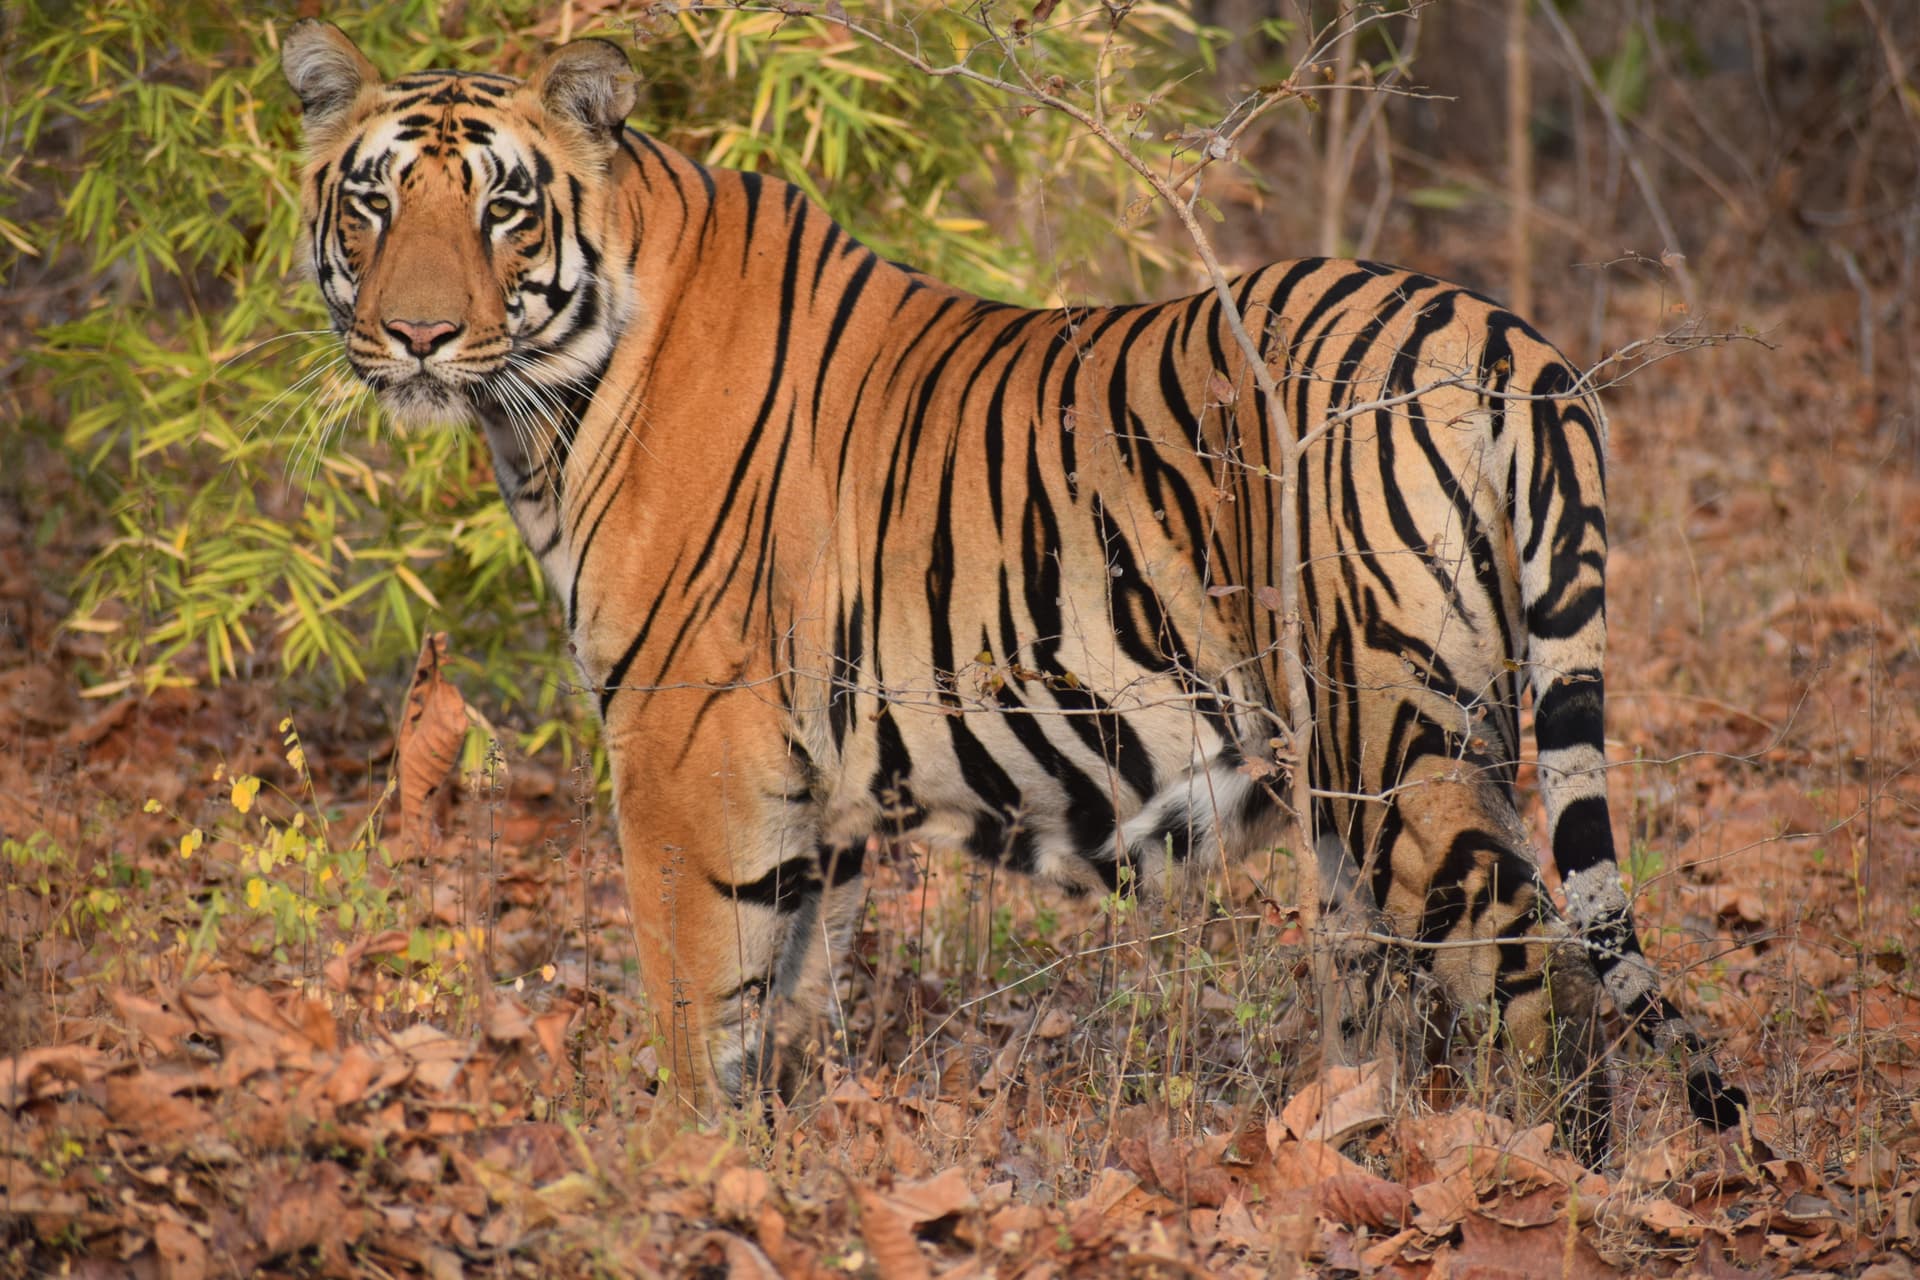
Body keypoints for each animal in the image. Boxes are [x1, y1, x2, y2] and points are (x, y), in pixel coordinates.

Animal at [280, 18, 1746, 1160]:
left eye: (502, 206)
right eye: (374, 202)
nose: (415, 334)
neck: (550, 397)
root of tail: (1507, 342)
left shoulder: (685, 748)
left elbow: (697, 994)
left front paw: (682, 1172)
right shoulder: (809, 784)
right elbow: (786, 994)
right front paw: (782, 1159)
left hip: (1396, 742)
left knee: (1538, 962)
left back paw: (1541, 1179)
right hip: (1369, 778)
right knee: (1391, 982)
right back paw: (1351, 1139)